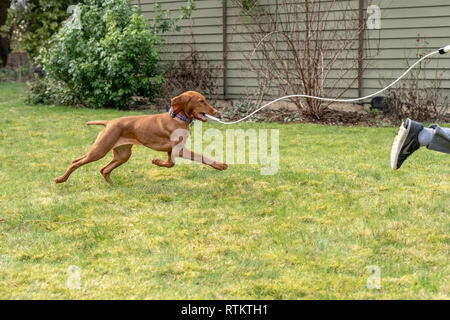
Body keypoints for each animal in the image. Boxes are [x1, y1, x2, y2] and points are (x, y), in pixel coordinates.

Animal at [54, 91, 227, 184]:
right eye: (201, 101)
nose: (216, 111)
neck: (178, 118)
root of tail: (109, 122)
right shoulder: (178, 149)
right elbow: (196, 158)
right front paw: (156, 161)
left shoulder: (172, 150)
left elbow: (172, 163)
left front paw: (220, 166)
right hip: (100, 150)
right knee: (76, 161)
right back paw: (61, 179)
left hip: (123, 154)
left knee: (104, 169)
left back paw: (113, 184)